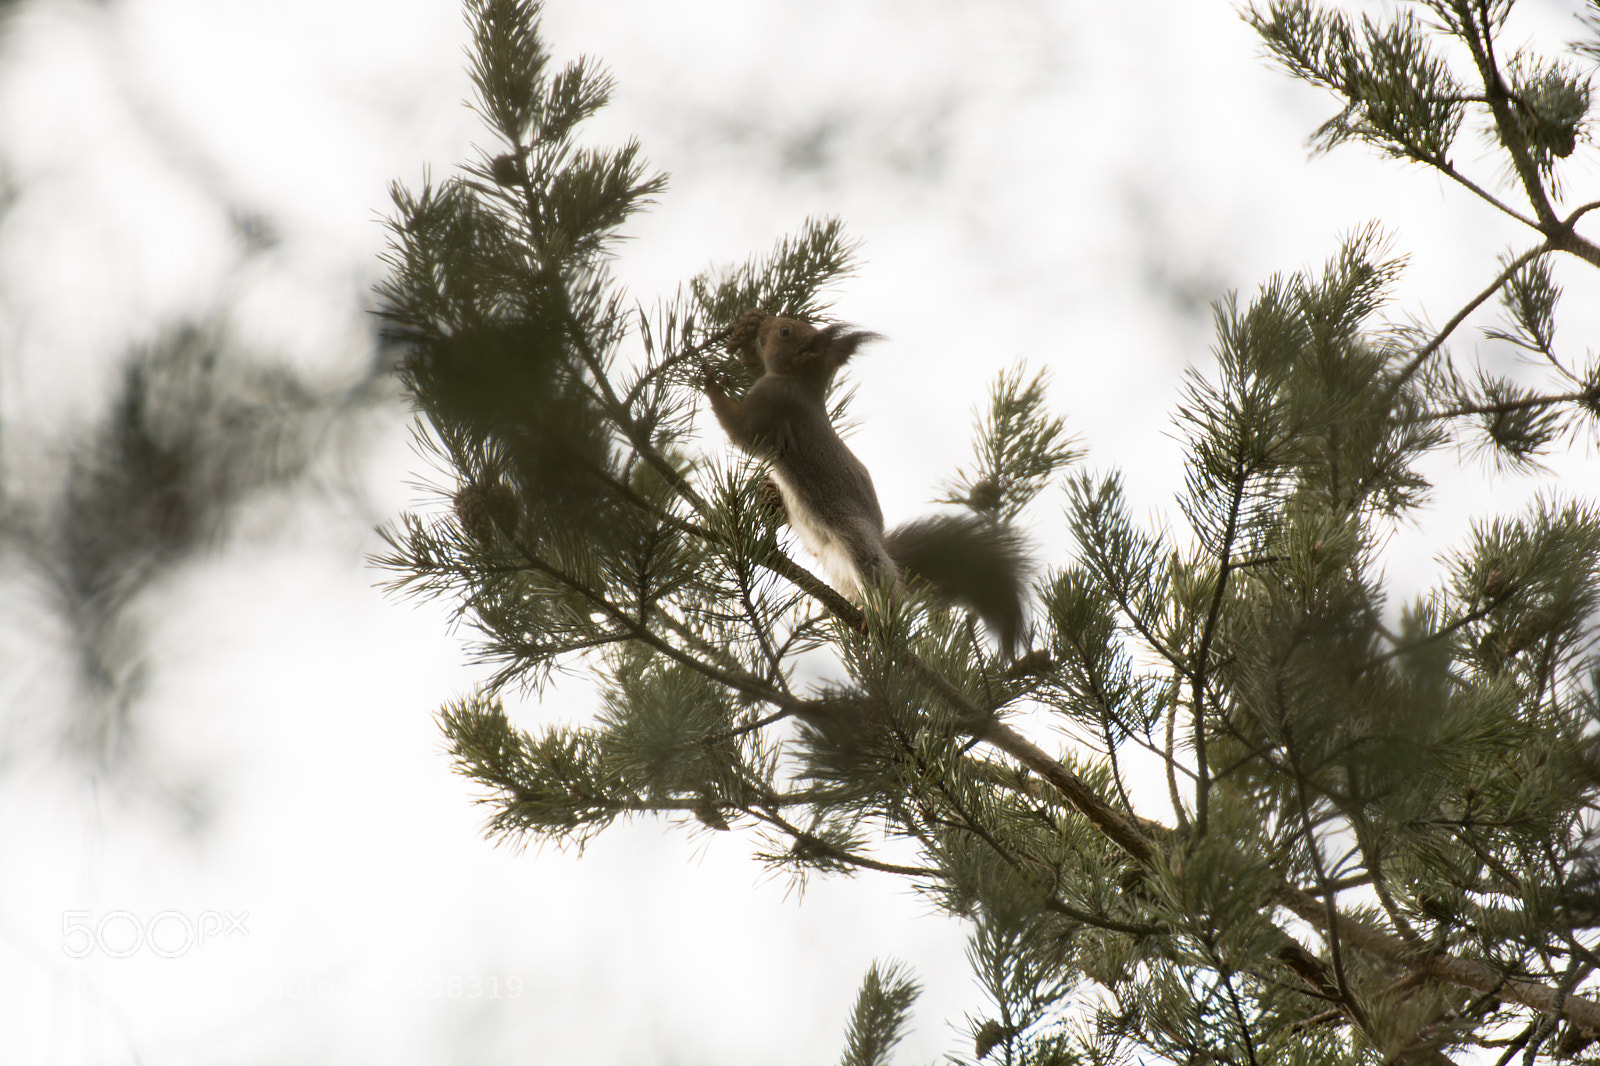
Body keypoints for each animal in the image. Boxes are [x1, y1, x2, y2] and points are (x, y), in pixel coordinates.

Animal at [703, 311, 1030, 656]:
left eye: (785, 330)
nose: (762, 322)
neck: (803, 384)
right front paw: (744, 352)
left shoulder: (772, 403)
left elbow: (740, 432)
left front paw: (710, 379)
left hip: (856, 539)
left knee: (883, 583)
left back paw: (877, 618)